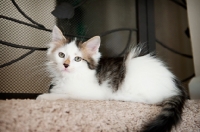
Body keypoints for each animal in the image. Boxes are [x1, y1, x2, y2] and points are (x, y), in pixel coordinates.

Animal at [37, 25, 188, 132]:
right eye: (61, 55)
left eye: (77, 59)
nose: (65, 65)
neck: (69, 77)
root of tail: (175, 85)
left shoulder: (92, 93)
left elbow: (67, 95)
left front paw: (44, 97)